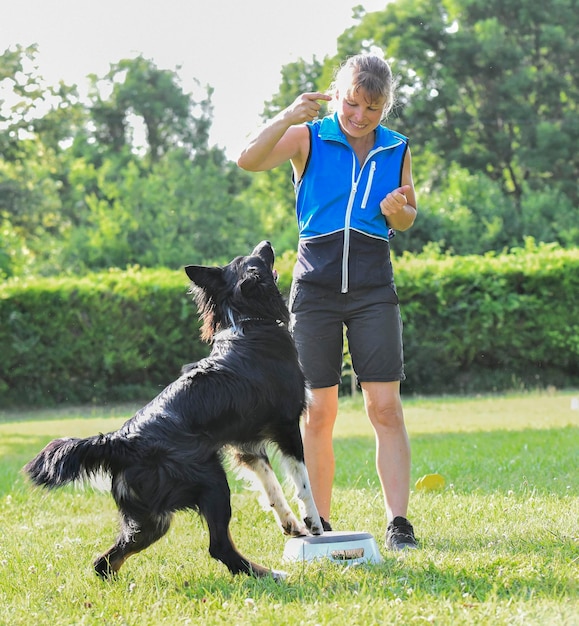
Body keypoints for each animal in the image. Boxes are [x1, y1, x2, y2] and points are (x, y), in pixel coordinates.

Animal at [24, 240, 324, 580]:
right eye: (256, 258)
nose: (267, 243)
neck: (248, 324)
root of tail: (120, 441)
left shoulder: (246, 445)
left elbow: (271, 487)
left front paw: (292, 525)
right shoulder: (286, 426)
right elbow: (302, 482)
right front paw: (313, 524)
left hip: (151, 518)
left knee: (105, 561)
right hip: (211, 482)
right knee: (219, 546)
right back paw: (270, 574)